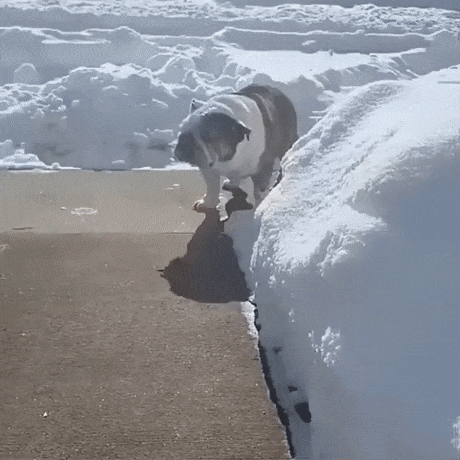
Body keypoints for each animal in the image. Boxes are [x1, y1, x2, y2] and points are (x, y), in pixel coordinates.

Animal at [173, 85, 298, 214]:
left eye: (207, 137)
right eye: (182, 130)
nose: (182, 148)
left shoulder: (263, 169)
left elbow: (259, 192)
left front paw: (258, 210)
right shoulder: (208, 170)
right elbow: (212, 187)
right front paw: (207, 203)